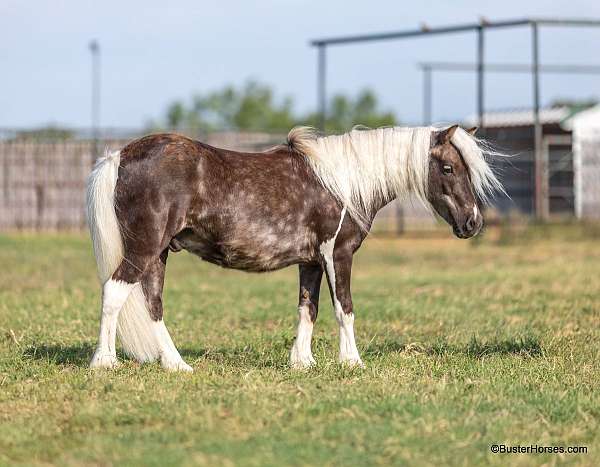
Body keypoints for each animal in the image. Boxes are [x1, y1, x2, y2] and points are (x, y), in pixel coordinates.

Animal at [86, 124, 504, 372]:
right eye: (448, 168)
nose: (473, 223)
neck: (343, 181)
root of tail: (119, 157)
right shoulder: (338, 255)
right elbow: (344, 309)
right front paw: (352, 362)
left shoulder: (312, 262)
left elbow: (309, 308)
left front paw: (303, 362)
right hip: (143, 249)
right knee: (114, 293)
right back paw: (104, 362)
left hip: (158, 254)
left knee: (153, 304)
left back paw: (176, 365)